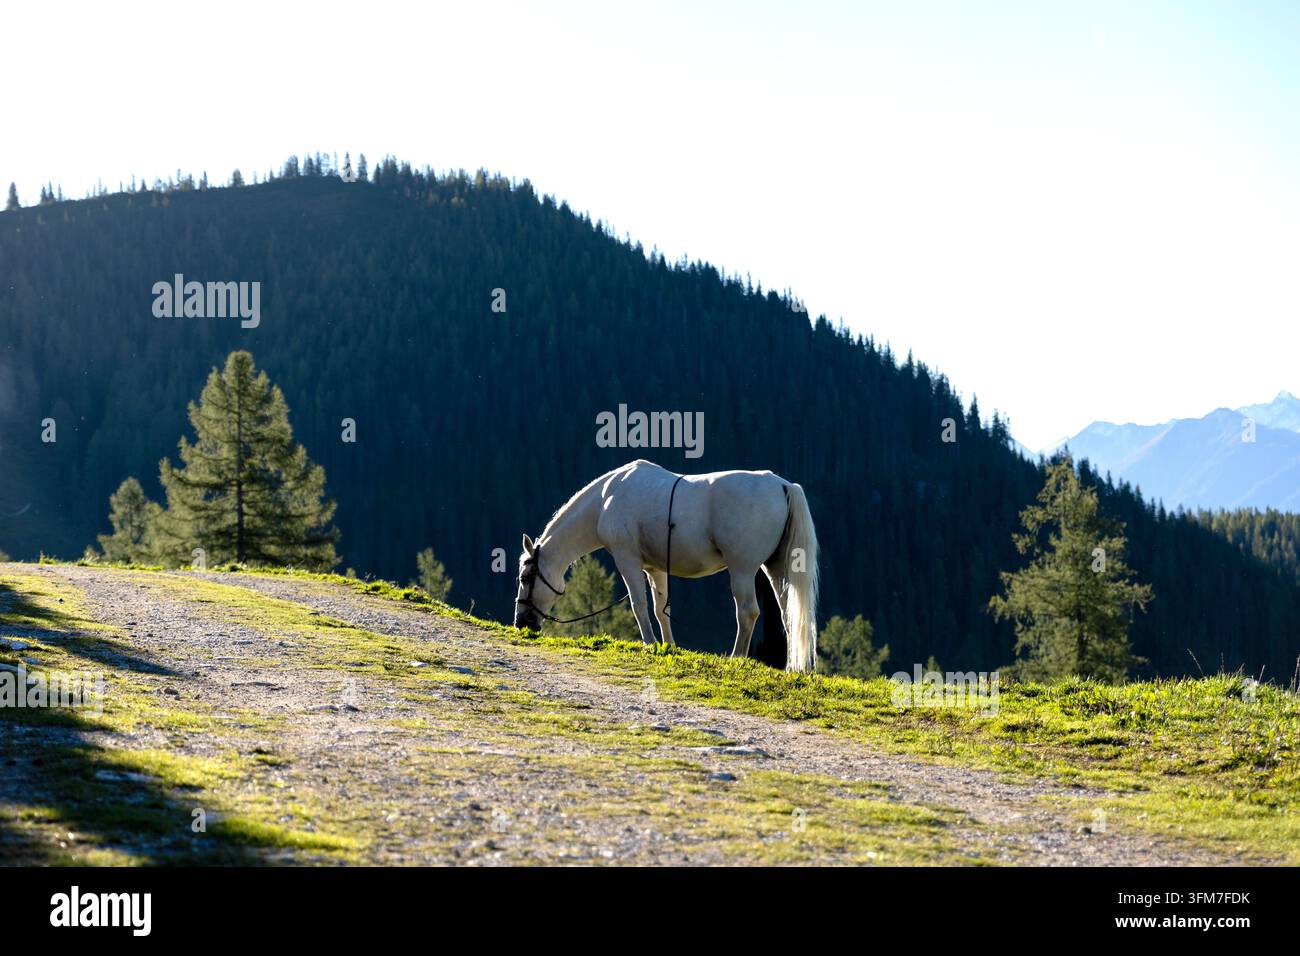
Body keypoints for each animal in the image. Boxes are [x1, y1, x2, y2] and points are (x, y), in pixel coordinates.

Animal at [513, 460, 819, 671]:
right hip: (777, 569)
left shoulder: (627, 559)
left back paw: (736, 657)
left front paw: (649, 644)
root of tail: (782, 485)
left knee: (747, 613)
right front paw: (668, 646)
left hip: (742, 571)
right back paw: (792, 668)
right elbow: (661, 609)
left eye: (526, 577)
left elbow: (639, 605)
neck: (605, 500)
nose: (521, 622)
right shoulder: (655, 569)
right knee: (789, 614)